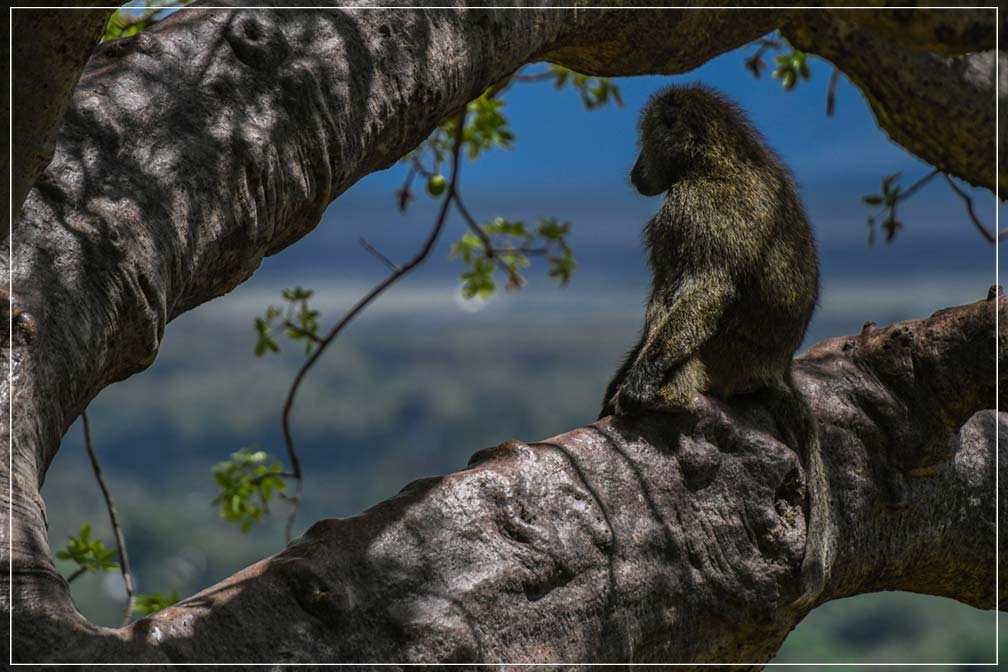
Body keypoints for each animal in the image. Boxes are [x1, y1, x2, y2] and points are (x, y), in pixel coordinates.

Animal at [599, 84, 831, 609]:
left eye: (647, 140)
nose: (633, 171)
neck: (713, 159)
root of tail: (776, 367)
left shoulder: (691, 209)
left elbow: (704, 288)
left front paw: (640, 383)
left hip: (728, 358)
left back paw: (669, 397)